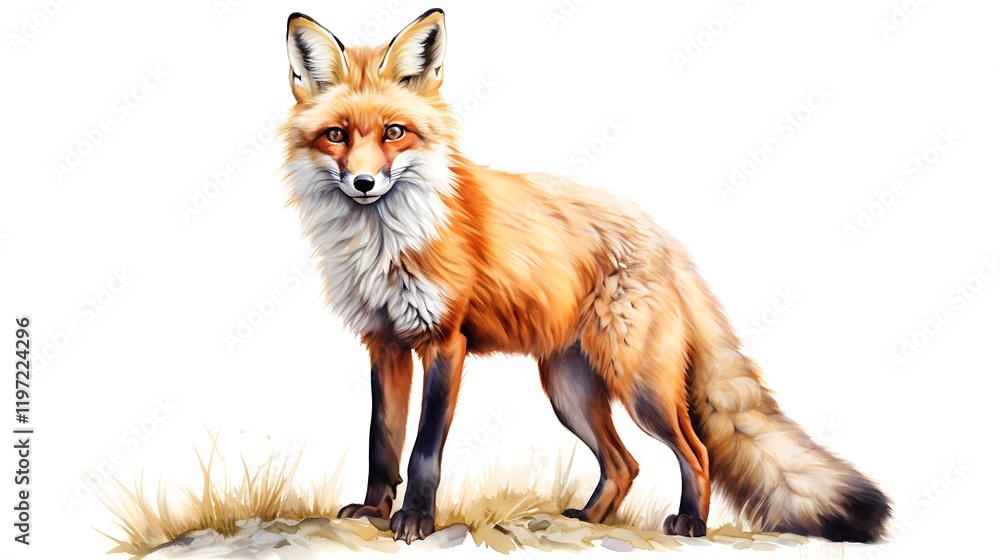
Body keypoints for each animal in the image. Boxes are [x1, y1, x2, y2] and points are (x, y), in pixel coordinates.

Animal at [280, 8, 891, 545]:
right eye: (336, 135)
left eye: (394, 132)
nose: (363, 183)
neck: (383, 243)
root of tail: (665, 237)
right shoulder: (384, 343)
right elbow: (381, 442)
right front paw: (375, 510)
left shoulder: (444, 341)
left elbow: (423, 449)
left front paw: (415, 519)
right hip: (570, 390)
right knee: (625, 464)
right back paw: (588, 519)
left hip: (640, 386)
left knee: (695, 451)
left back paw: (690, 523)